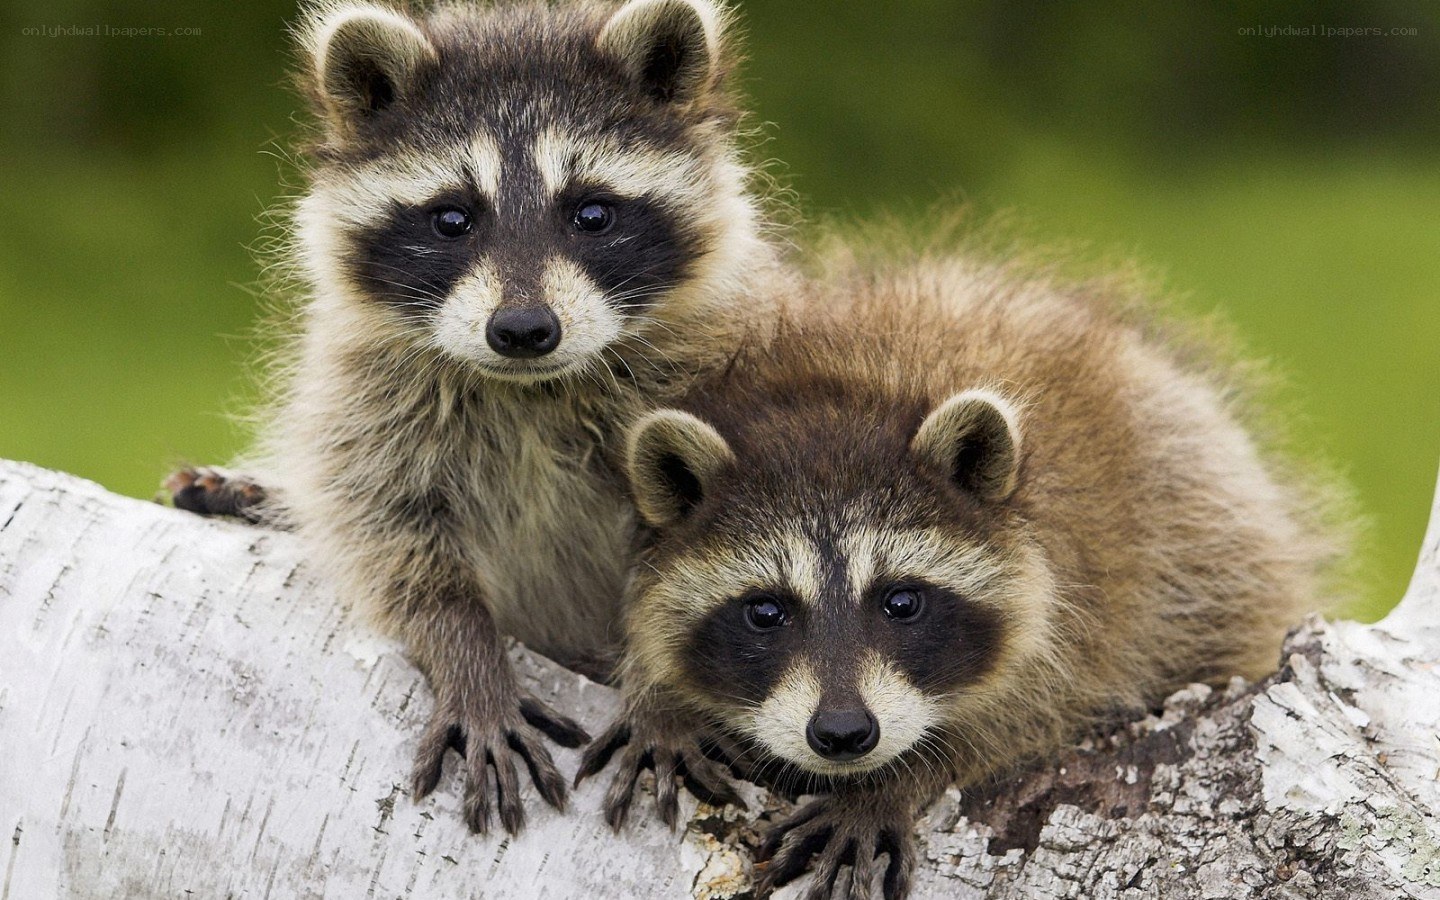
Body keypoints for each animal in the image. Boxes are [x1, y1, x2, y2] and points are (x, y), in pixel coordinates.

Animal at [169, 0, 784, 835]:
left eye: (593, 212)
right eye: (452, 219)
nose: (522, 329)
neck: (528, 387)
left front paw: (662, 696)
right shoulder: (369, 398)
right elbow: (391, 537)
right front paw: (467, 654)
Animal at [579, 257, 1341, 898]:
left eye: (901, 601)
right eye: (765, 612)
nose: (844, 734)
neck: (840, 393)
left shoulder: (1088, 590)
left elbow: (1032, 708)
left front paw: (896, 781)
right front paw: (660, 698)